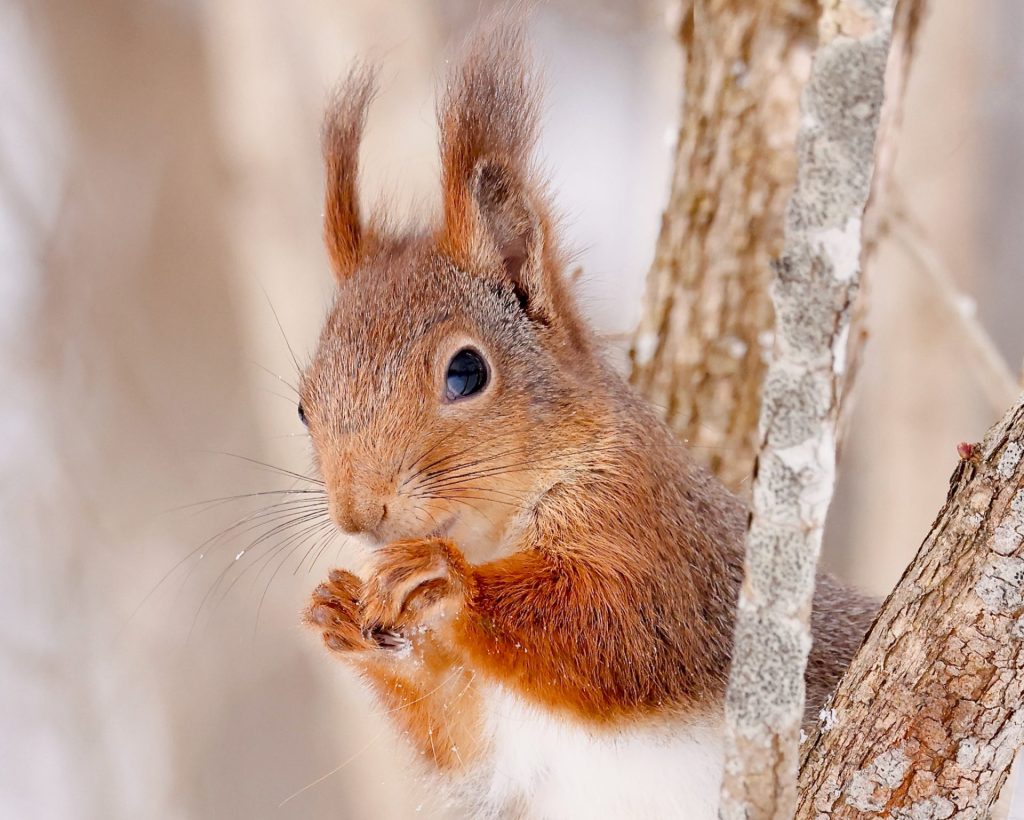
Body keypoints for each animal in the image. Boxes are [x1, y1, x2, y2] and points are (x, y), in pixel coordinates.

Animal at [299, 22, 872, 814]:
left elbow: (620, 633)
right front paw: (344, 615)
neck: (494, 533)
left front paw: (444, 581)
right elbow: (457, 731)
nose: (359, 513)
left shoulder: (657, 534)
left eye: (467, 372)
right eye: (302, 405)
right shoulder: (495, 727)